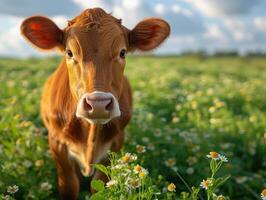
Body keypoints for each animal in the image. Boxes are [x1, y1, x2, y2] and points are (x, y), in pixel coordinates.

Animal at [20, 7, 170, 198]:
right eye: (69, 52)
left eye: (122, 52)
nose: (98, 104)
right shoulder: (56, 143)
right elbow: (69, 186)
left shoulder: (115, 143)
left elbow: (101, 185)